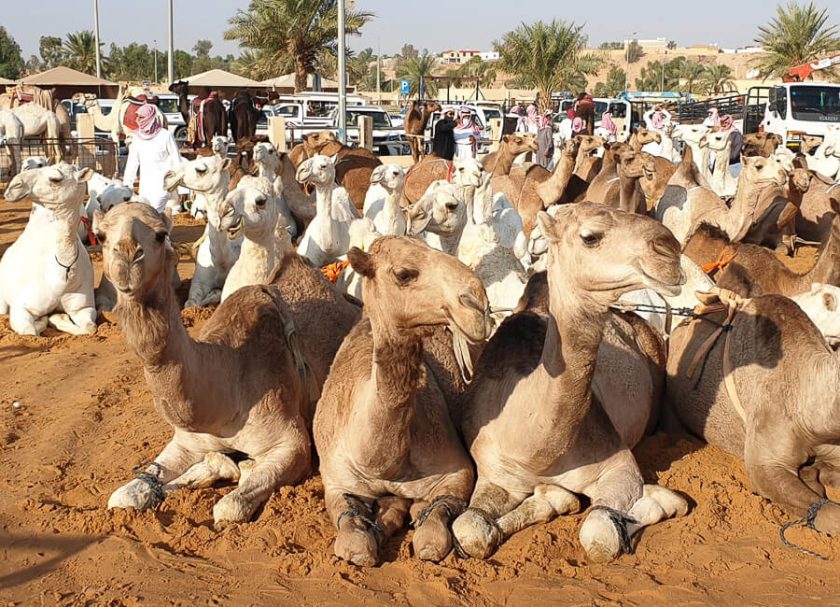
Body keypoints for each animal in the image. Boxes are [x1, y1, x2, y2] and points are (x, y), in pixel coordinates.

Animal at [0, 163, 96, 336]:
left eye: (55, 179)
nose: (14, 185)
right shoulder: (21, 307)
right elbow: (30, 331)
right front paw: (46, 319)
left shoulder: (84, 307)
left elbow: (90, 328)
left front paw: (57, 317)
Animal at [101, 202, 358, 525]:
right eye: (101, 235)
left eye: (160, 235)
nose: (126, 256)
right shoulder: (187, 442)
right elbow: (122, 497)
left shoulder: (292, 444)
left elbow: (228, 508)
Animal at [314, 236, 491, 566]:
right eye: (404, 273)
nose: (477, 304)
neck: (381, 465)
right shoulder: (336, 481)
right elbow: (354, 541)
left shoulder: (456, 471)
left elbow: (432, 536)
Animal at [451, 203, 688, 563]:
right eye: (590, 237)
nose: (669, 249)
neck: (536, 449)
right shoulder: (495, 472)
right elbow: (470, 529)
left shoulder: (617, 465)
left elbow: (600, 534)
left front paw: (654, 499)